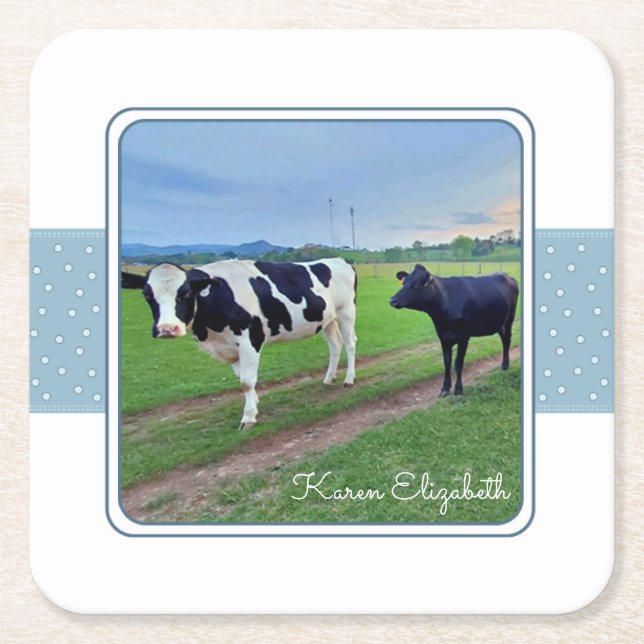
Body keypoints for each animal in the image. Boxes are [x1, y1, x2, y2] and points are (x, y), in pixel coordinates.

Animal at [121, 258, 358, 429]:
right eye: (146, 295)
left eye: (185, 293)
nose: (167, 329)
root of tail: (340, 260)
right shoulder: (228, 349)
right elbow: (242, 379)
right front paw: (254, 404)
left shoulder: (249, 340)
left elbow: (246, 381)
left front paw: (249, 417)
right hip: (327, 319)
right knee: (335, 346)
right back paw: (328, 378)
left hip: (346, 312)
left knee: (349, 344)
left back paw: (349, 379)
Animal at [389, 264, 518, 397]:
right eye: (404, 282)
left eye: (415, 285)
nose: (392, 300)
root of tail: (507, 276)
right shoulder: (443, 337)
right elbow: (447, 362)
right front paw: (445, 388)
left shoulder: (463, 337)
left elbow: (458, 363)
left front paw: (458, 390)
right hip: (500, 323)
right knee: (504, 339)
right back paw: (504, 364)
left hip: (510, 319)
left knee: (507, 340)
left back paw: (505, 365)